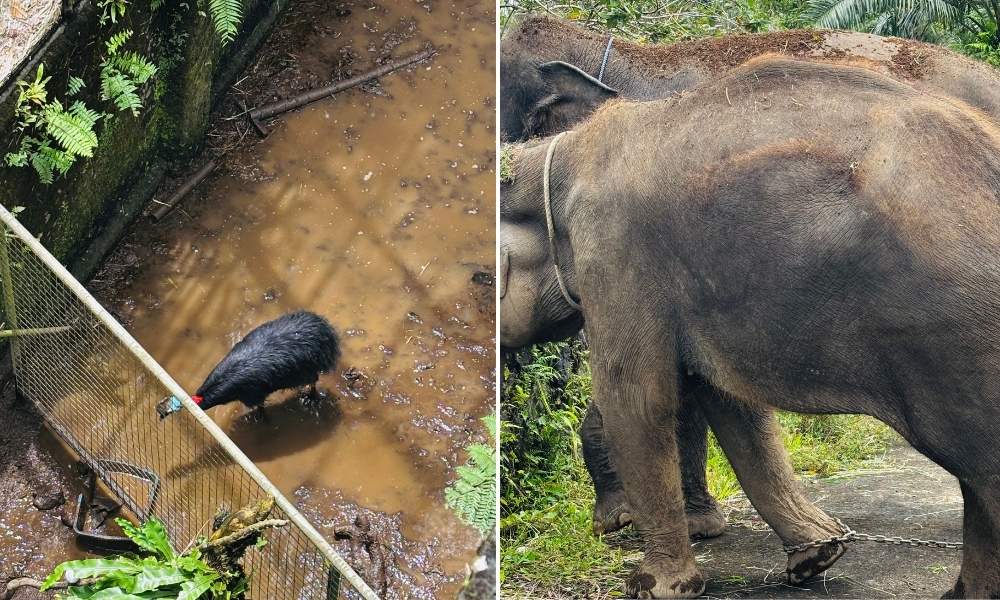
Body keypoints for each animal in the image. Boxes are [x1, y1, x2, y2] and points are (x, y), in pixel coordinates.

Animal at [499, 55, 1000, 598]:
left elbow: (637, 399)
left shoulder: (615, 248)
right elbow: (732, 403)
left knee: (980, 466)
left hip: (954, 331)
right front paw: (817, 556)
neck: (556, 158)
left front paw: (655, 587)